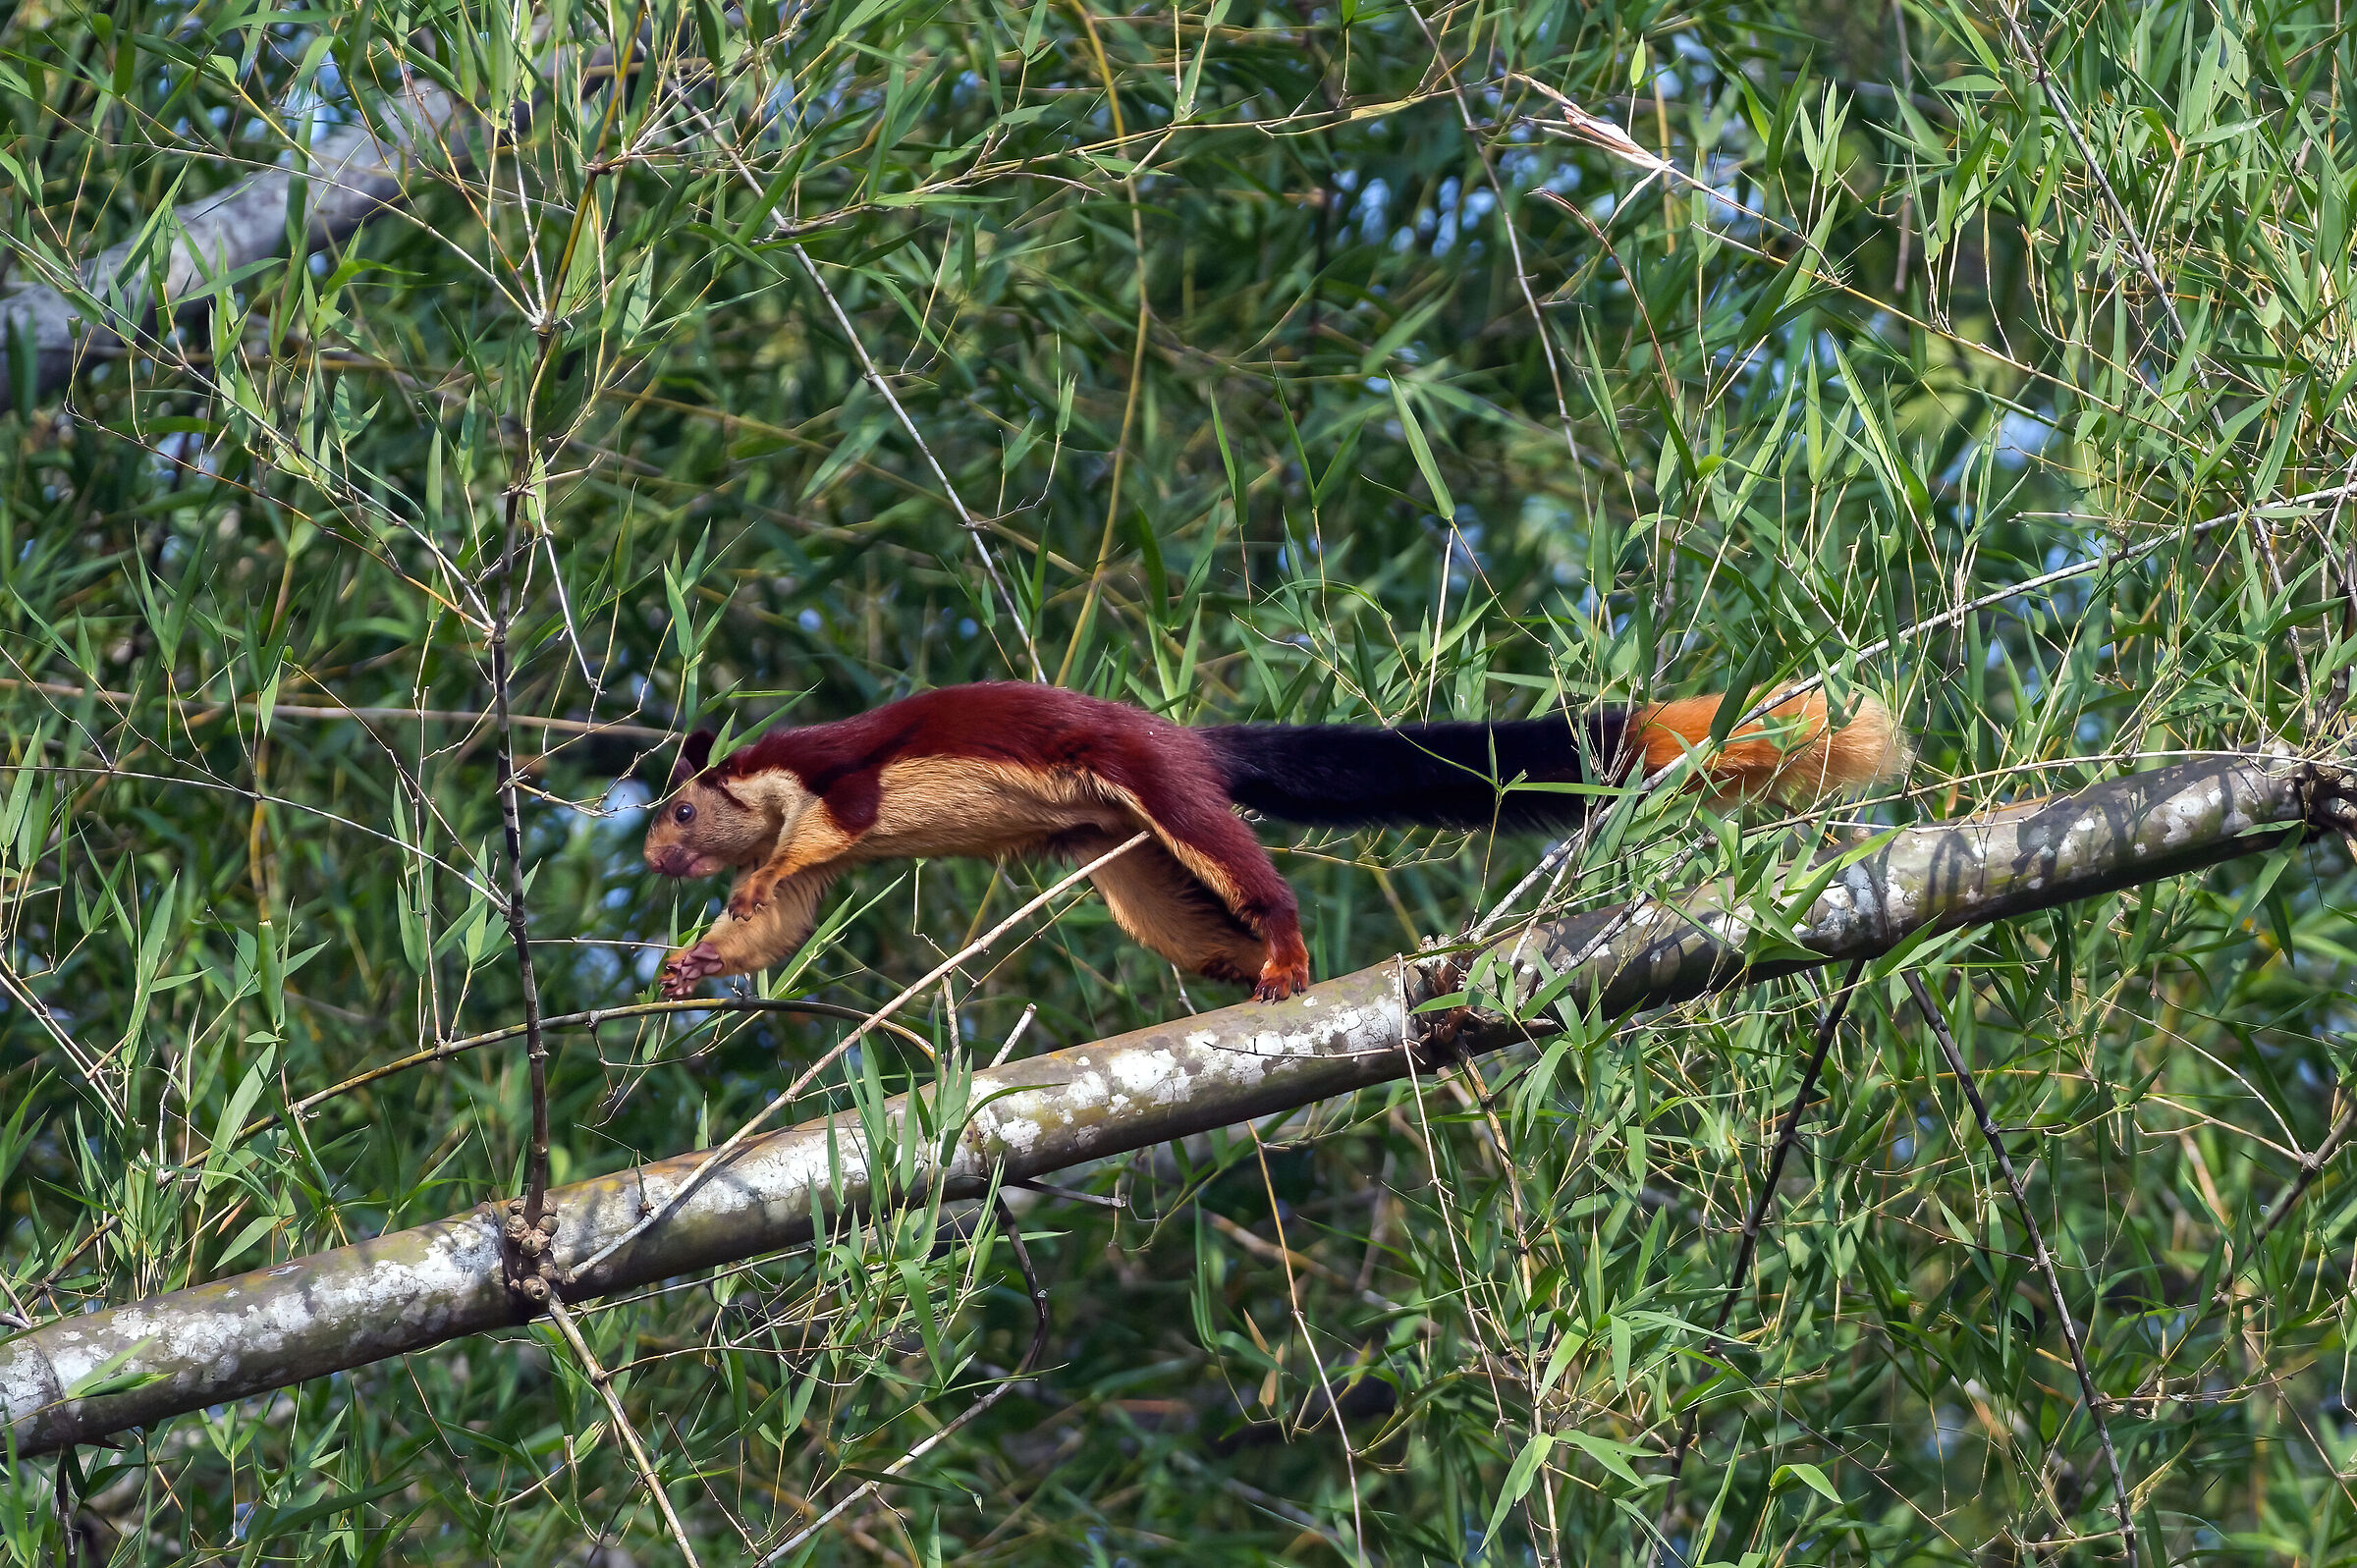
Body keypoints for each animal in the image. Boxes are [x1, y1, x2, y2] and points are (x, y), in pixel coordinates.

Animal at [641, 682, 1907, 1003]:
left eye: (680, 811)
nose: (653, 861)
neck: (768, 785)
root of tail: (1183, 736)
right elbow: (785, 918)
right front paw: (695, 961)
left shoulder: (841, 774)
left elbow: (820, 841)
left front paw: (745, 884)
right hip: (1120, 850)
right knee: (1175, 913)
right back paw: (1245, 967)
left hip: (1152, 786)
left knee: (1245, 867)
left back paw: (1288, 955)